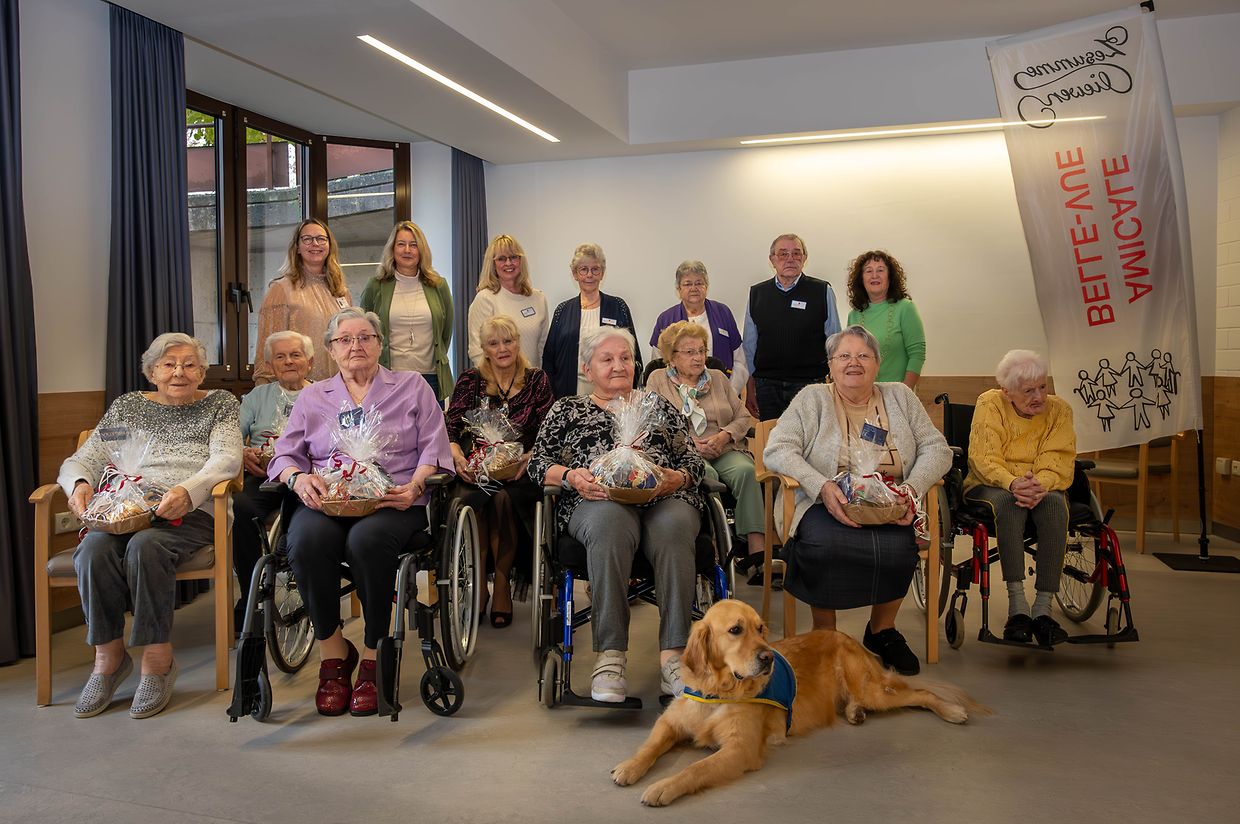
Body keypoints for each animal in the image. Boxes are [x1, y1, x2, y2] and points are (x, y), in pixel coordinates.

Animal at [612, 599, 984, 806]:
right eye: (735, 630)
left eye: (761, 629)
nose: (767, 658)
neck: (719, 691)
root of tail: (846, 636)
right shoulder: (671, 722)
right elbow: (650, 745)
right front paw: (629, 766)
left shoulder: (740, 749)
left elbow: (695, 768)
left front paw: (663, 787)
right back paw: (855, 712)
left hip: (873, 689)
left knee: (921, 694)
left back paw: (952, 710)